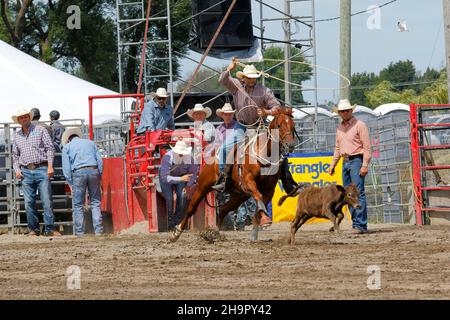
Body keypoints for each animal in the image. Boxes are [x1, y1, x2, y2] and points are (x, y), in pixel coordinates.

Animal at [169, 106, 296, 241]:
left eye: (293, 125)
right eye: (279, 125)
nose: (290, 145)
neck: (263, 154)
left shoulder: (269, 189)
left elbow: (259, 206)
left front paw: (256, 231)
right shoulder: (248, 181)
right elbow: (258, 196)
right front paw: (266, 220)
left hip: (239, 195)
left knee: (224, 209)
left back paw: (214, 232)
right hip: (202, 187)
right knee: (191, 209)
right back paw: (176, 233)